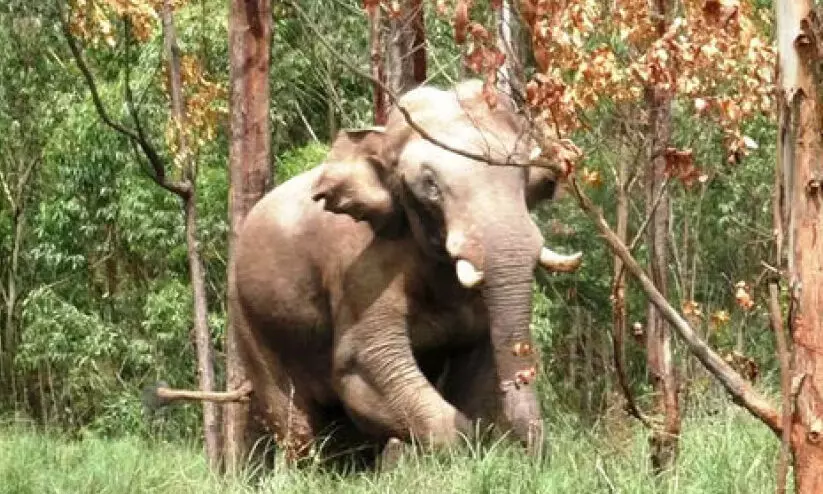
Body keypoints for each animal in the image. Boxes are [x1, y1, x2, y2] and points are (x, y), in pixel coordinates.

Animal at [230, 80, 581, 463]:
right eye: (430, 185)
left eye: (523, 175)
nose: (538, 456)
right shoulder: (361, 270)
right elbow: (361, 365)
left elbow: (477, 358)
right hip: (249, 322)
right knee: (294, 423)